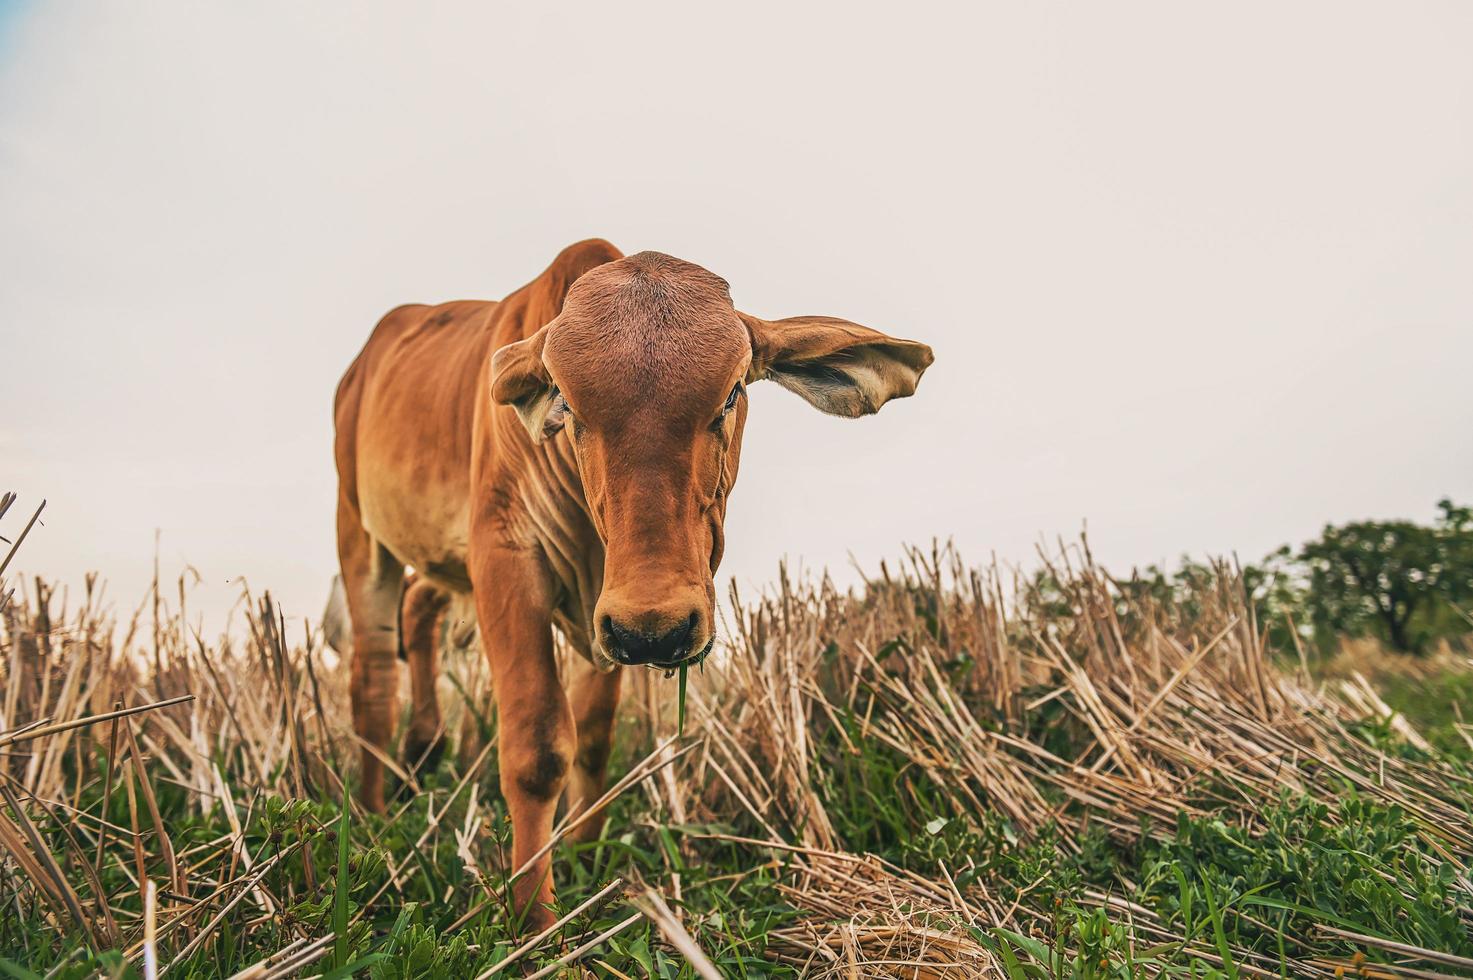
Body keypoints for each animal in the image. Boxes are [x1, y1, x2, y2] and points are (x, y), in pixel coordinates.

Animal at [334, 238, 930, 925]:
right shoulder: (505, 557)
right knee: (374, 675)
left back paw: (423, 750)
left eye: (731, 393)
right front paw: (535, 921)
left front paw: (583, 850)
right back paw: (373, 814)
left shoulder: (606, 615)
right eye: (567, 404)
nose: (659, 630)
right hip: (359, 532)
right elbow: (537, 748)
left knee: (418, 608)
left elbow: (594, 736)